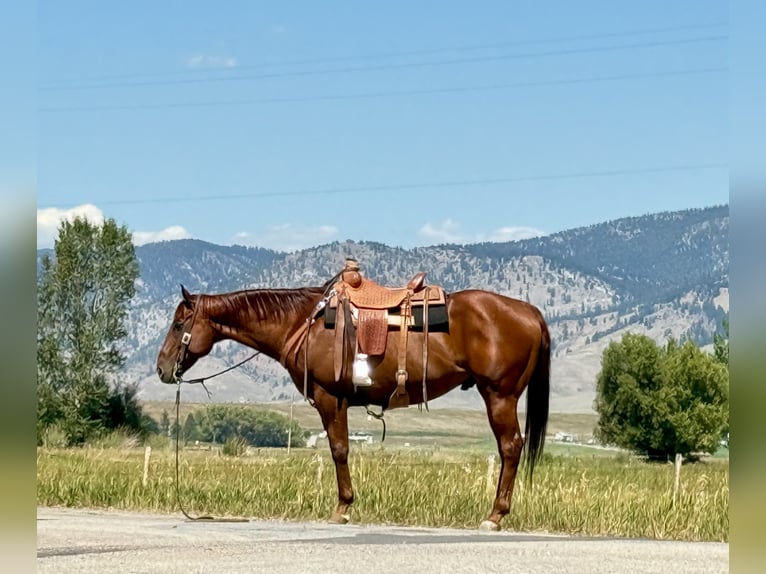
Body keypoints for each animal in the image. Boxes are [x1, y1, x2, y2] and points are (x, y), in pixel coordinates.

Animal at [156, 277, 550, 531]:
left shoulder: (330, 398)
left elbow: (340, 450)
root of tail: (530, 312)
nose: (161, 368)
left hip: (499, 395)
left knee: (511, 447)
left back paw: (495, 516)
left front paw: (343, 508)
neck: (301, 322)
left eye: (178, 324)